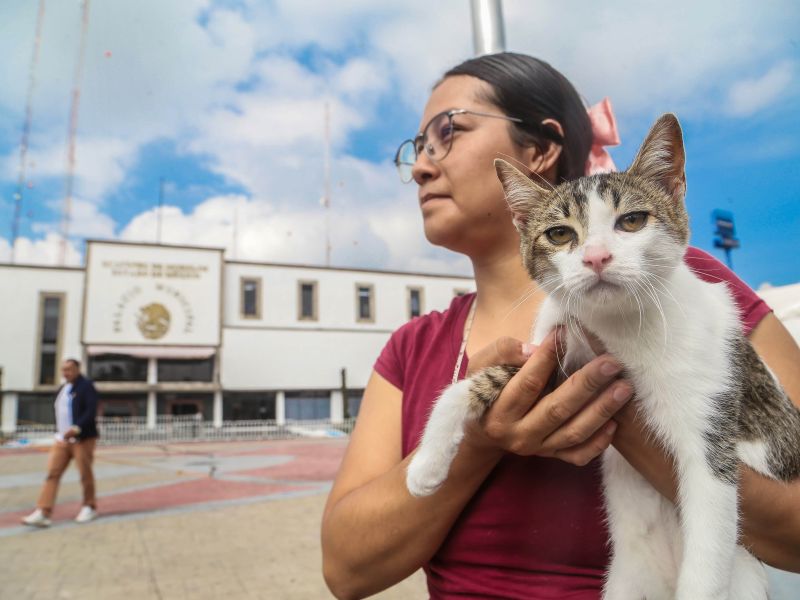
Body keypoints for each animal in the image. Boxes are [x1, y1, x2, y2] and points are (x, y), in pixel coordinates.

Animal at [406, 113, 800, 600]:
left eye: (632, 221)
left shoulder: (711, 435)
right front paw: (426, 465)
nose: (596, 257)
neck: (621, 324)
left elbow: (709, 532)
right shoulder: (559, 352)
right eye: (559, 234)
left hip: (746, 574)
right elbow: (484, 381)